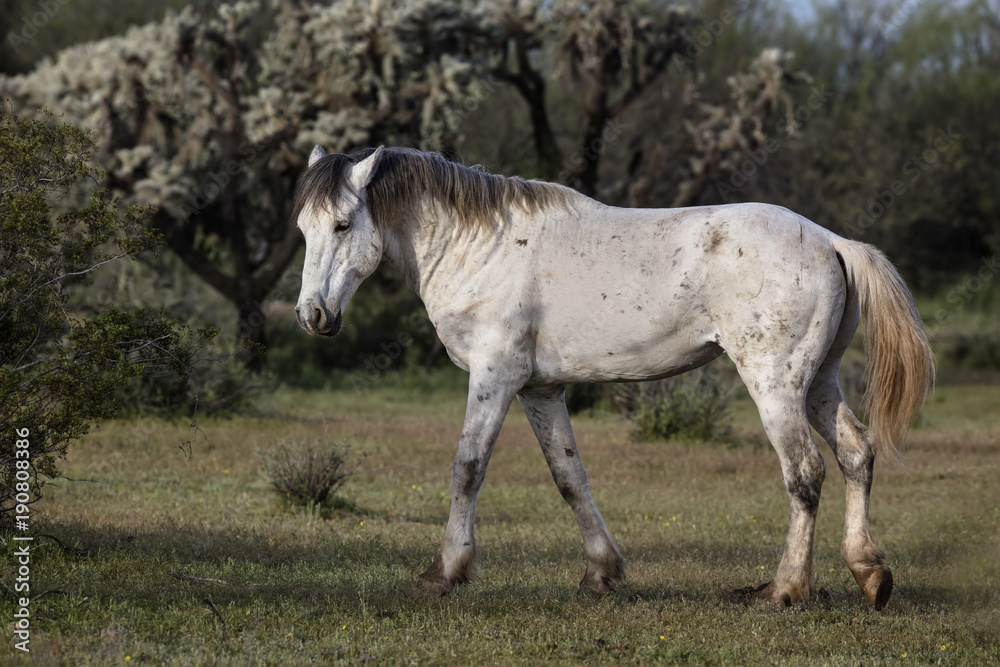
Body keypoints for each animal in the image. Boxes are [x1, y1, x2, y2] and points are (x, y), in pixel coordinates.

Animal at [292, 145, 933, 610]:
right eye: (303, 229)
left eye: (344, 225)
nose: (312, 315)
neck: (481, 247)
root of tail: (831, 241)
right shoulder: (539, 390)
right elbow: (569, 476)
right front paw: (601, 572)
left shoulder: (494, 376)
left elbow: (467, 468)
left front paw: (444, 571)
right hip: (819, 382)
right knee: (855, 453)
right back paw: (870, 575)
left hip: (776, 386)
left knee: (804, 473)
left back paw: (783, 590)